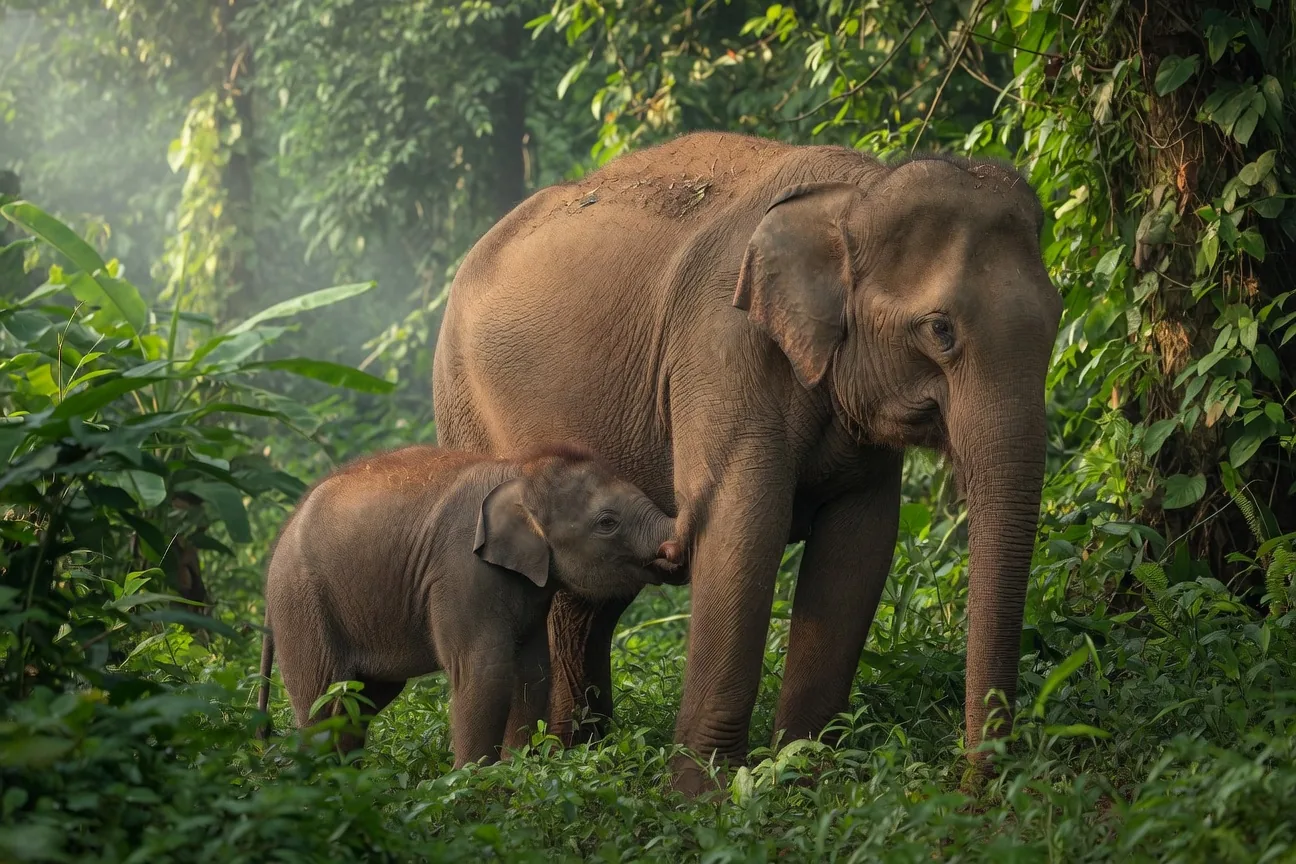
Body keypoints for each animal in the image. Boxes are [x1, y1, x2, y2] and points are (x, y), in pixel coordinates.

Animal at [255, 442, 687, 767]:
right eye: (607, 522)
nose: (672, 553)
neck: (520, 470)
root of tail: (279, 538)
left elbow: (533, 670)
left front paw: (519, 768)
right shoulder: (461, 572)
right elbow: (484, 671)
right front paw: (472, 780)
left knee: (362, 701)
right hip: (303, 605)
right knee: (326, 700)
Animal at [431, 131, 1062, 792]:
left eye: (1057, 319)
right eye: (939, 329)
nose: (976, 785)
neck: (855, 196)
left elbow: (858, 545)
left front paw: (805, 774)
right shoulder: (722, 346)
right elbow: (742, 525)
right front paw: (703, 795)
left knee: (587, 599)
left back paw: (574, 755)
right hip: (466, 411)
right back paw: (518, 770)